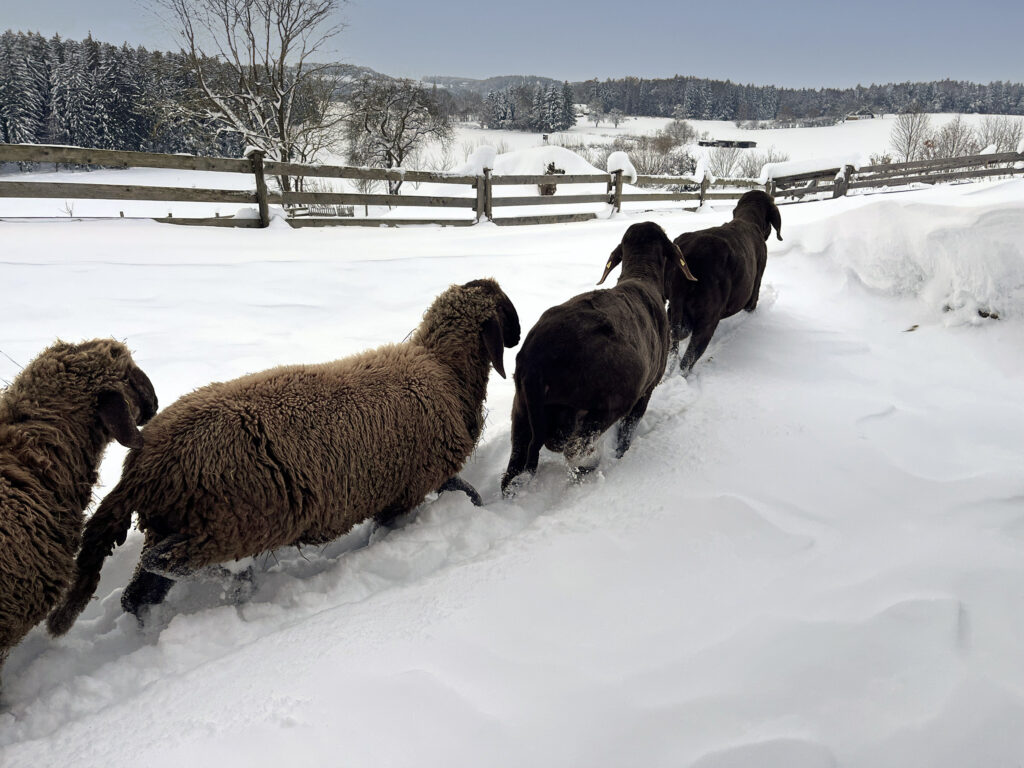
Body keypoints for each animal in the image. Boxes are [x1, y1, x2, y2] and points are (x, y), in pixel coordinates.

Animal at [48, 280, 520, 634]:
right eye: (506, 309)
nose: (518, 336)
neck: (444, 370)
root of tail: (144, 463)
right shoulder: (411, 487)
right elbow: (465, 494)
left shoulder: (405, 486)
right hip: (226, 525)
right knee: (164, 563)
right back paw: (235, 582)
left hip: (181, 521)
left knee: (138, 594)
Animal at [497, 221, 692, 499]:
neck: (641, 276)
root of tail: (536, 362)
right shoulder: (646, 391)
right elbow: (628, 430)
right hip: (608, 405)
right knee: (575, 448)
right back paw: (589, 467)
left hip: (522, 410)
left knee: (513, 469)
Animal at [667, 189, 778, 376]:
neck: (748, 219)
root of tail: (689, 254)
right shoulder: (754, 288)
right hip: (707, 321)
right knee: (686, 362)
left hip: (674, 312)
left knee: (672, 356)